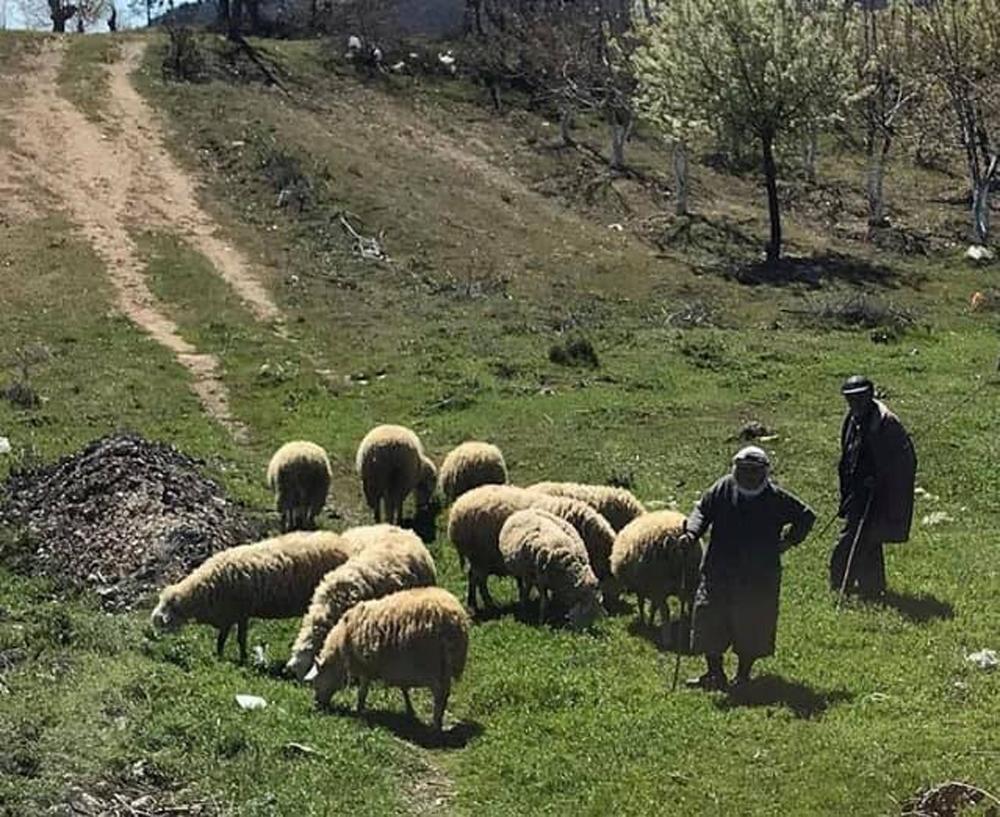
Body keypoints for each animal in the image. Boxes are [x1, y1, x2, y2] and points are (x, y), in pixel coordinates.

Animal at [152, 528, 360, 664]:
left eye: (166, 608)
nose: (154, 627)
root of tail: (343, 544)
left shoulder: (240, 611)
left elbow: (240, 638)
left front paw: (242, 659)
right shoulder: (230, 613)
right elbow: (223, 637)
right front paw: (219, 655)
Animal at [308, 588, 468, 732]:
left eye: (316, 680)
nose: (317, 704)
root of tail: (453, 621)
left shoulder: (366, 665)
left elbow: (362, 691)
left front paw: (358, 709)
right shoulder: (399, 665)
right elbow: (403, 689)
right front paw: (409, 711)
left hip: (432, 665)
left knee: (439, 694)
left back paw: (435, 725)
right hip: (444, 666)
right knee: (445, 693)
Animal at [608, 512, 704, 640]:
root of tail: (676, 541)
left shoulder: (646, 586)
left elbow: (641, 603)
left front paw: (644, 622)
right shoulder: (649, 587)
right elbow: (652, 606)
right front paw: (650, 622)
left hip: (660, 583)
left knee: (666, 612)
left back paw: (667, 638)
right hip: (691, 578)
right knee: (691, 603)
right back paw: (688, 626)